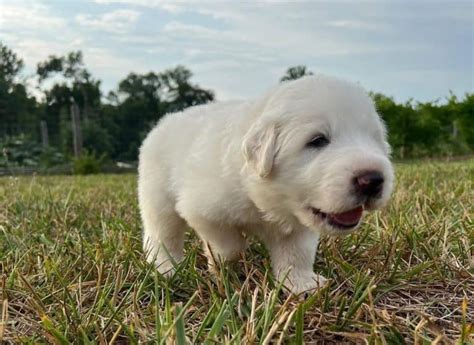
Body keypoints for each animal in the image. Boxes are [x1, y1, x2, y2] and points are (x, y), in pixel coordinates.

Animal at [139, 75, 394, 292]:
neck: (264, 201)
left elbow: (297, 253)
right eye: (317, 140)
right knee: (162, 235)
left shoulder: (298, 223)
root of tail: (162, 124)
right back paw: (165, 268)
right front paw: (221, 266)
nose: (372, 180)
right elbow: (229, 246)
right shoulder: (203, 210)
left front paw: (301, 284)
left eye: (374, 139)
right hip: (157, 197)